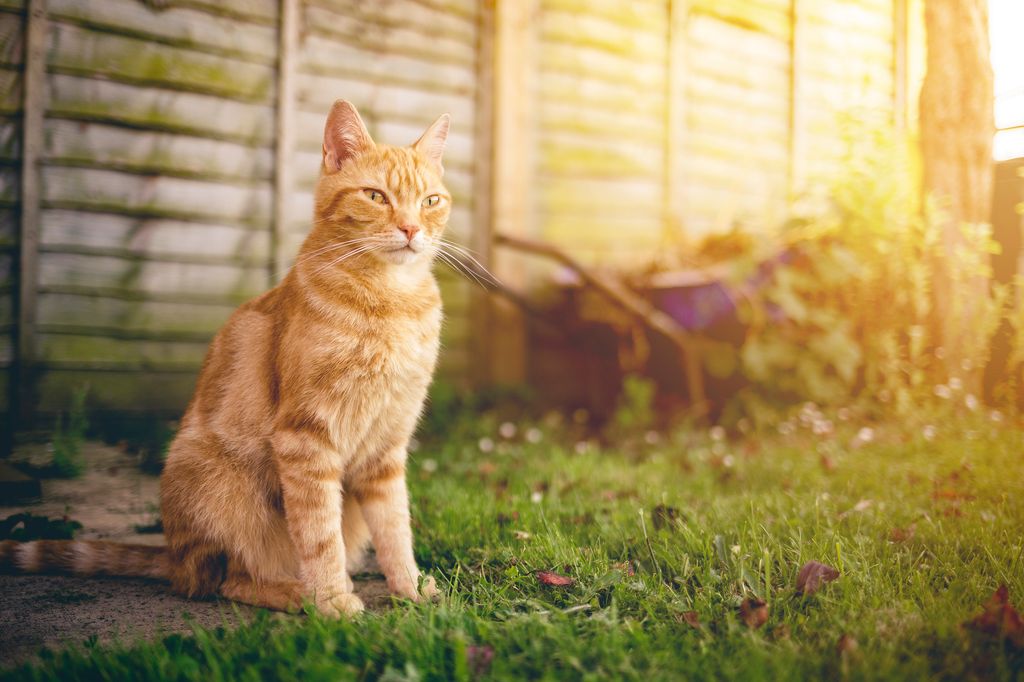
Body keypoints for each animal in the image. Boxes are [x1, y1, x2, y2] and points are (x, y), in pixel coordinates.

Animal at [1, 100, 448, 614]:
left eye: (431, 201)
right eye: (376, 196)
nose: (411, 228)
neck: (392, 302)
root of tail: (172, 557)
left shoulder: (387, 446)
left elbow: (395, 528)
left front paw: (410, 589)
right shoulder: (306, 437)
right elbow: (319, 536)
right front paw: (333, 600)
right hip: (223, 489)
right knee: (228, 579)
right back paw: (296, 593)